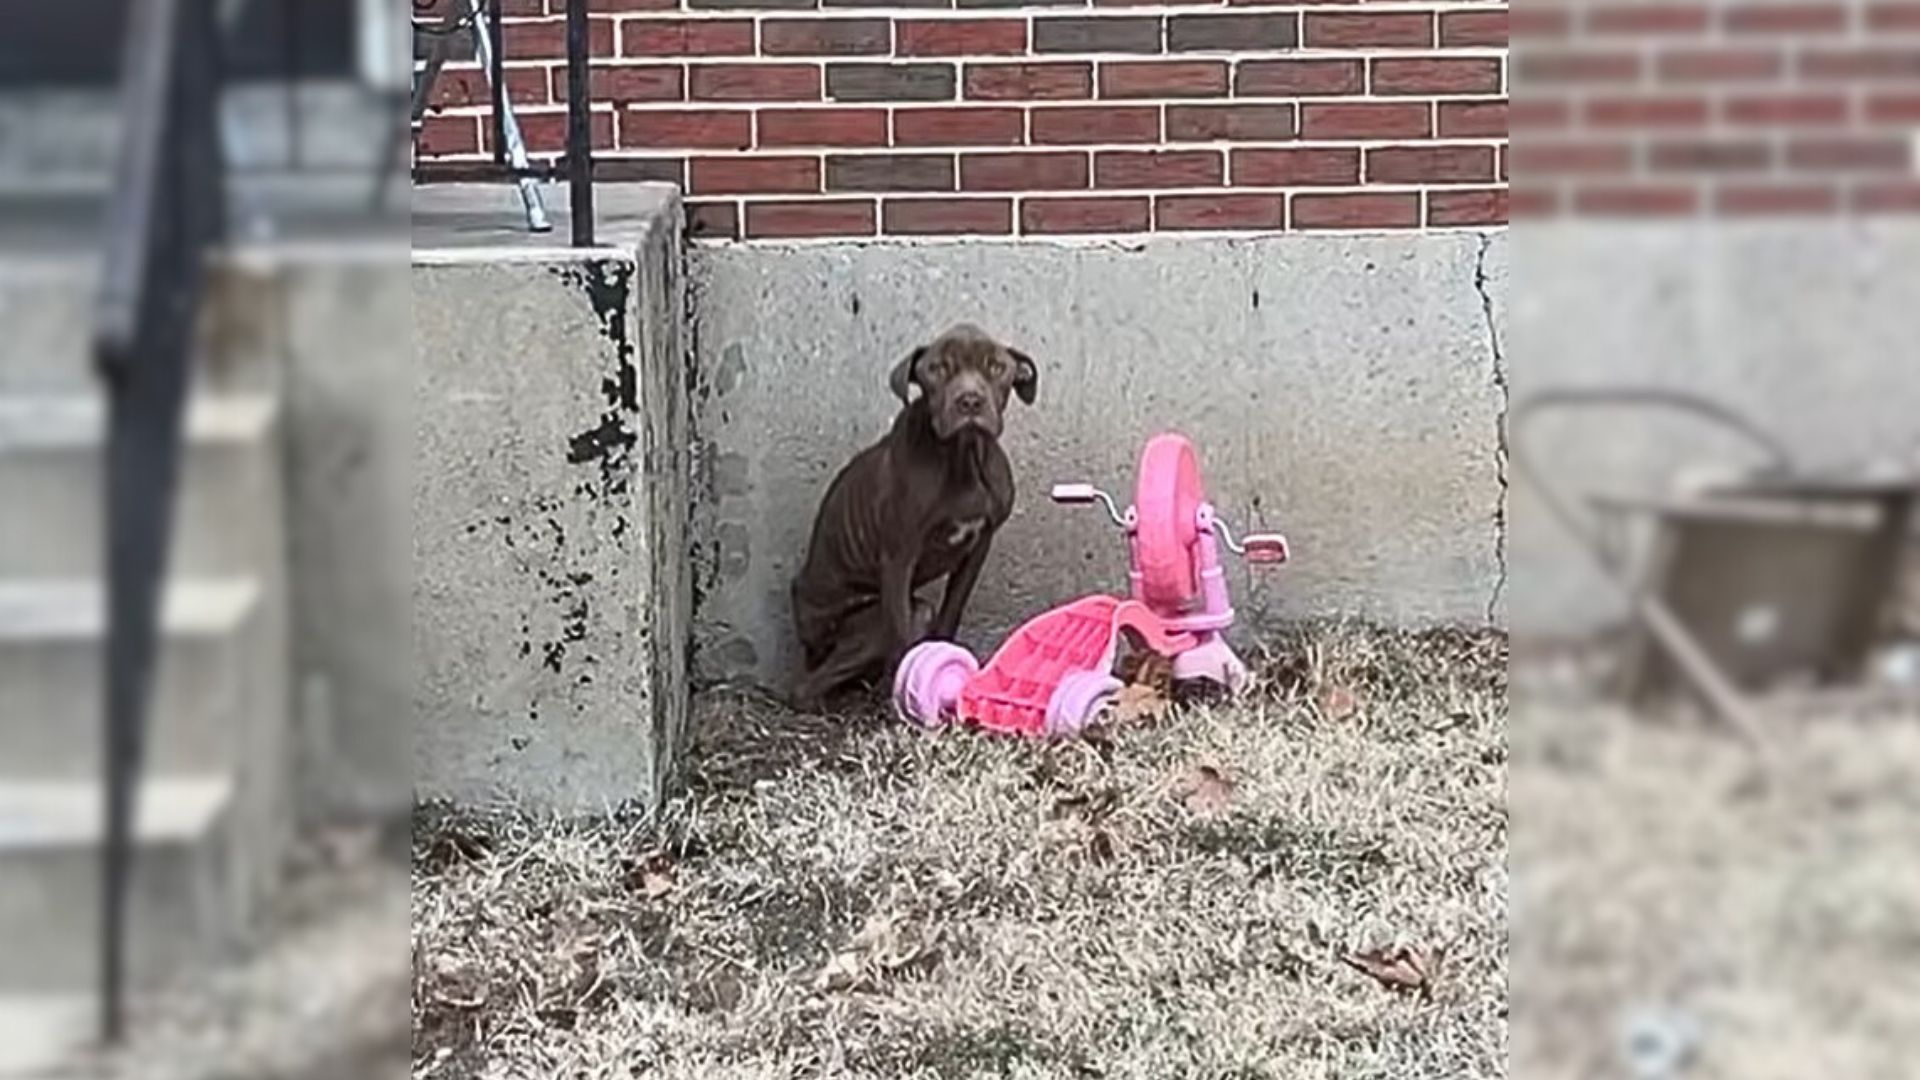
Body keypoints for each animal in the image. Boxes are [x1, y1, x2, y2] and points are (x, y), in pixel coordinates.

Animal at [787, 320, 1044, 707]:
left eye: (996, 367)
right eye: (937, 369)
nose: (970, 400)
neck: (963, 456)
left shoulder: (979, 546)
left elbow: (952, 611)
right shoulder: (899, 556)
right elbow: (898, 637)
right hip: (864, 624)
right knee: (805, 687)